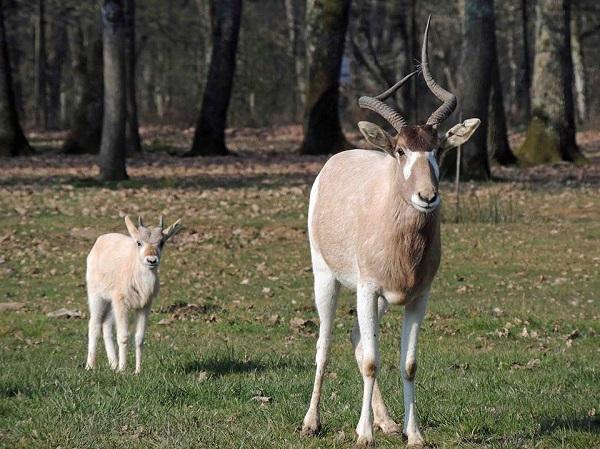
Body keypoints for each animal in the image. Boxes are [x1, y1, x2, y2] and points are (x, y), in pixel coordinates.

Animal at [85, 215, 180, 372]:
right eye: (139, 242)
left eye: (161, 242)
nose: (151, 260)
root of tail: (99, 241)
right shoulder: (121, 302)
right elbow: (123, 336)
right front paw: (123, 370)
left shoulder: (145, 305)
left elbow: (139, 337)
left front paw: (137, 371)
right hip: (96, 296)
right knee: (94, 324)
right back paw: (90, 366)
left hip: (111, 304)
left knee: (106, 325)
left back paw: (113, 364)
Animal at [302, 15, 480, 446]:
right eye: (400, 150)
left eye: (439, 148)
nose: (427, 196)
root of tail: (335, 161)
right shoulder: (367, 290)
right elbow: (370, 361)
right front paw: (363, 434)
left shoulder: (418, 296)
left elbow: (408, 363)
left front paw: (413, 434)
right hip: (327, 278)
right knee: (326, 342)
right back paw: (313, 422)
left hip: (379, 298)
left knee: (355, 338)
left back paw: (386, 421)